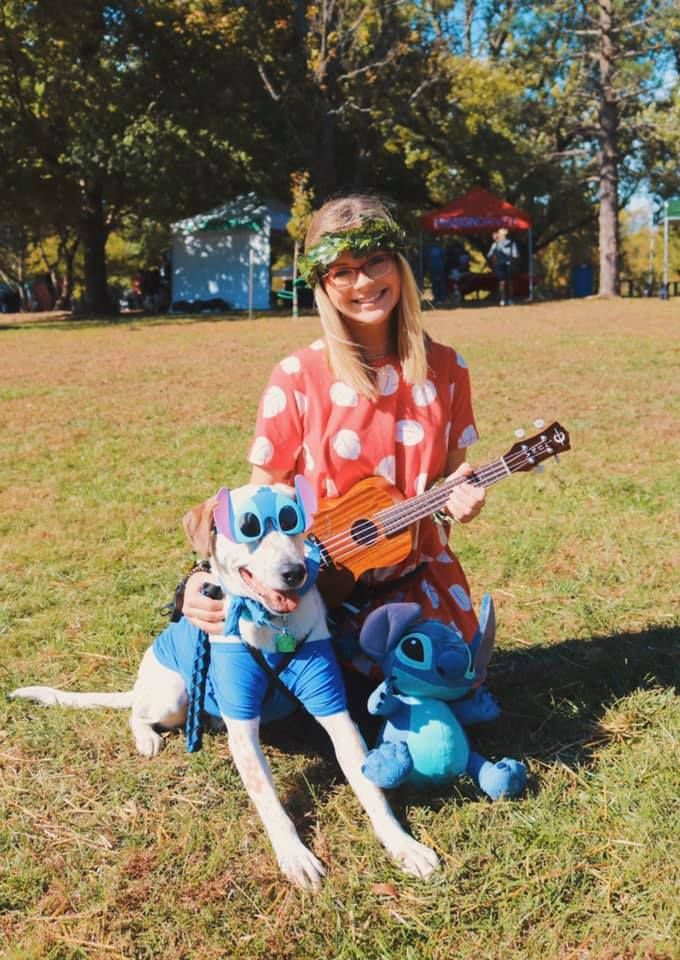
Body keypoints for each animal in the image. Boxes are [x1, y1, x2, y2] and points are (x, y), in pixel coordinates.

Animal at [11, 480, 440, 892]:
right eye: (249, 526)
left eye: (292, 521)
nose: (295, 573)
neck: (272, 625)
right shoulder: (243, 724)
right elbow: (270, 802)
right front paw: (295, 857)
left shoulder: (332, 707)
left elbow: (370, 788)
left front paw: (403, 846)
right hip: (174, 695)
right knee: (137, 713)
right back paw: (147, 737)